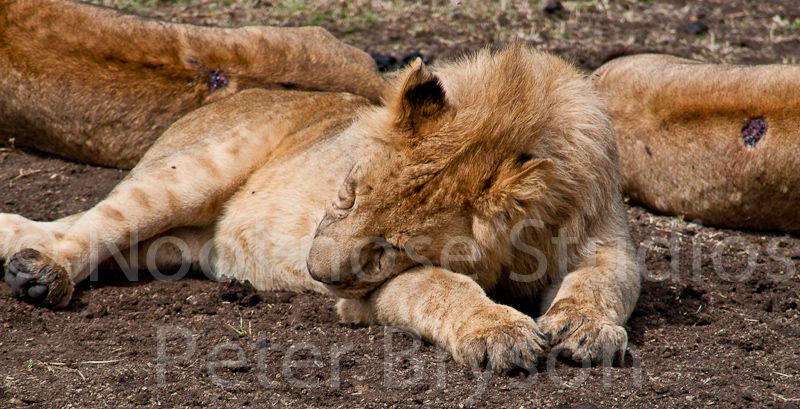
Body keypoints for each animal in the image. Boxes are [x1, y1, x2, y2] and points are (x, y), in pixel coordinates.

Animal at [2, 44, 640, 373]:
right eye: (347, 190)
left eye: (394, 245)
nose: (315, 274)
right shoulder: (364, 297)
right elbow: (443, 287)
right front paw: (500, 332)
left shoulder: (608, 242)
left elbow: (604, 281)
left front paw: (584, 327)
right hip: (189, 174)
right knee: (93, 223)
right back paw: (41, 274)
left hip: (168, 247)